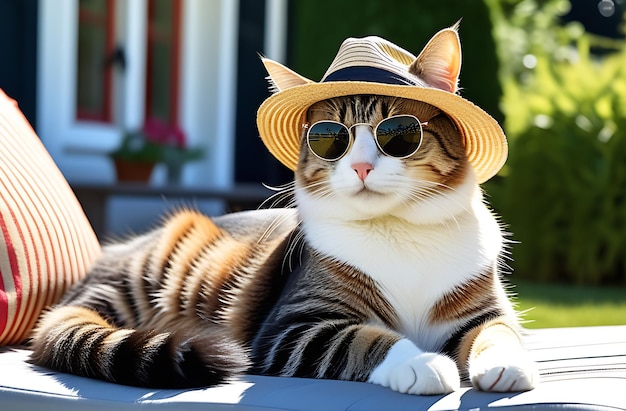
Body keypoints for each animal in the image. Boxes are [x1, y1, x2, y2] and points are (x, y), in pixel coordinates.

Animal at [30, 26, 536, 396]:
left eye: (399, 132)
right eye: (331, 137)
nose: (361, 166)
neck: (399, 230)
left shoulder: (483, 311)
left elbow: (500, 333)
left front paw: (507, 363)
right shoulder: (292, 329)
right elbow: (366, 338)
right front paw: (421, 363)